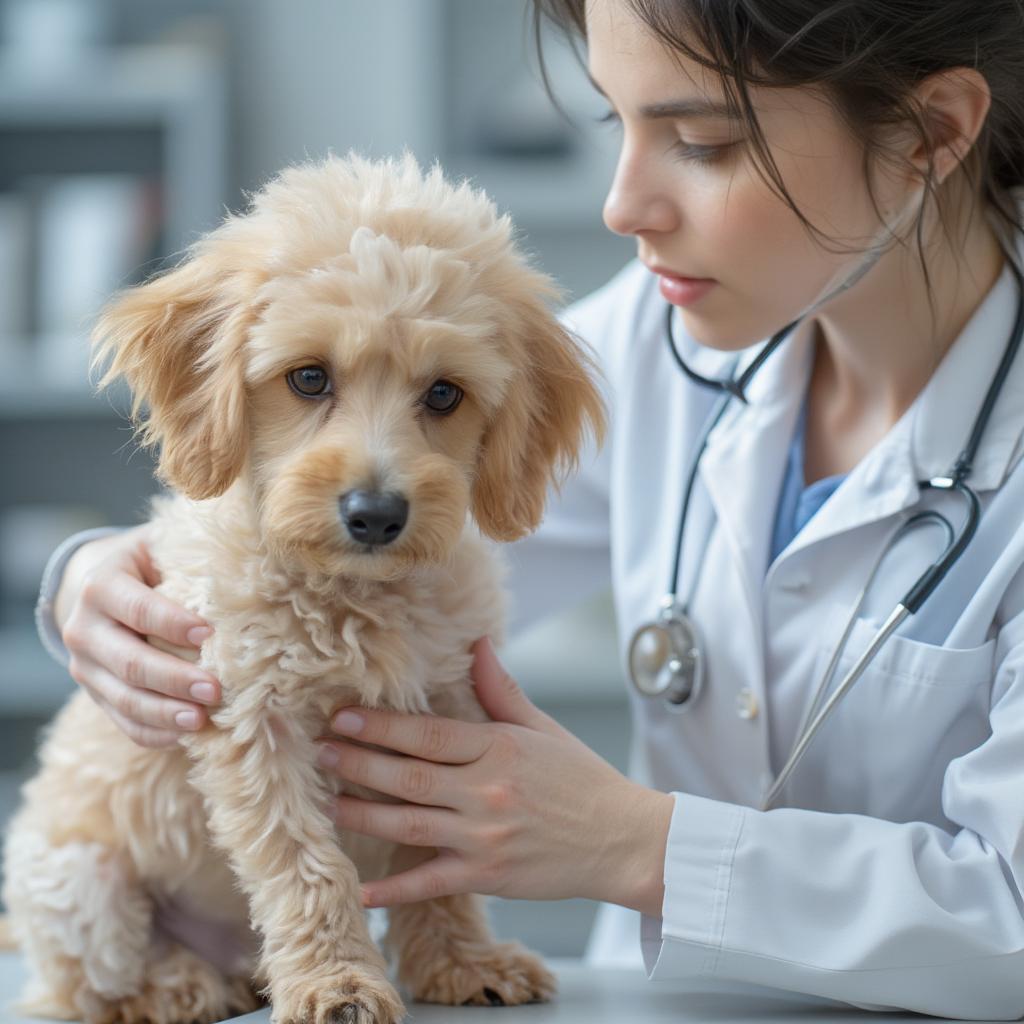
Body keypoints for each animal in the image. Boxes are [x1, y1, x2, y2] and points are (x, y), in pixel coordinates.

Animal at [0, 151, 602, 1024]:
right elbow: (306, 869)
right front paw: (338, 982)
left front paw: (459, 960)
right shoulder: (254, 721)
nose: (376, 513)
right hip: (79, 884)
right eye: (309, 379)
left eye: (444, 394)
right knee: (83, 985)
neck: (352, 597)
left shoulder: (449, 706)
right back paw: (177, 985)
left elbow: (438, 859)